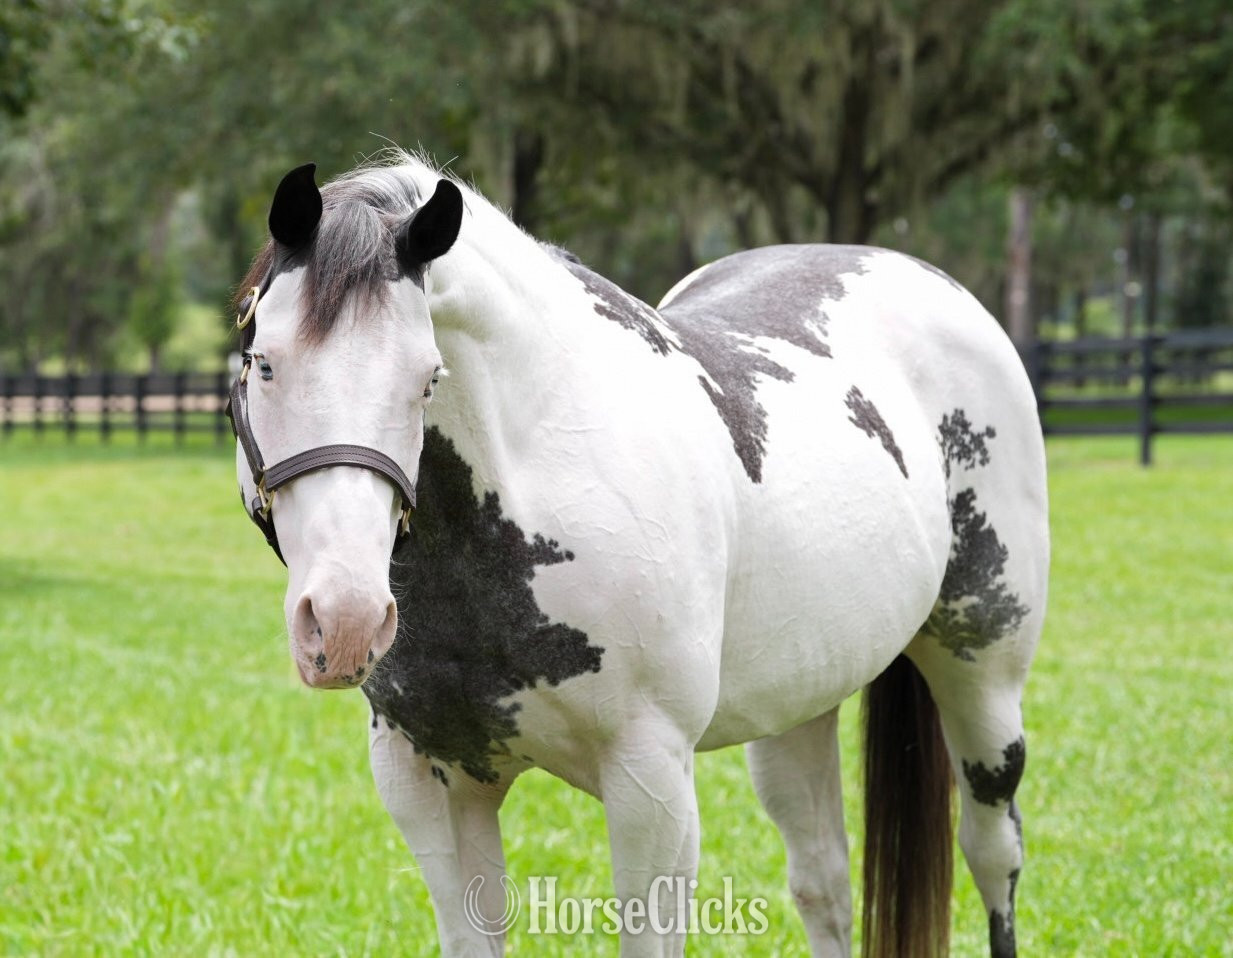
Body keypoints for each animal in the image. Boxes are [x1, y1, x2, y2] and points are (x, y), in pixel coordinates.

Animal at [227, 152, 1048, 958]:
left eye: (428, 377)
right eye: (262, 363)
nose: (346, 620)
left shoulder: (651, 786)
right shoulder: (429, 778)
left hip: (982, 681)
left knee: (992, 855)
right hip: (799, 706)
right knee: (824, 884)